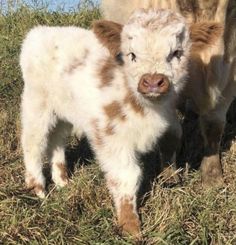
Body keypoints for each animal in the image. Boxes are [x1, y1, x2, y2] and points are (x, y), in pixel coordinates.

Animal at [19, 9, 191, 235]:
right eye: (132, 55)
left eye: (176, 53)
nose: (153, 82)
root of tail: (40, 32)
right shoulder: (111, 136)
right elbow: (127, 175)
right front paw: (131, 227)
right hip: (37, 103)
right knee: (33, 142)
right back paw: (38, 189)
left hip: (64, 110)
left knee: (57, 139)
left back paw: (62, 181)